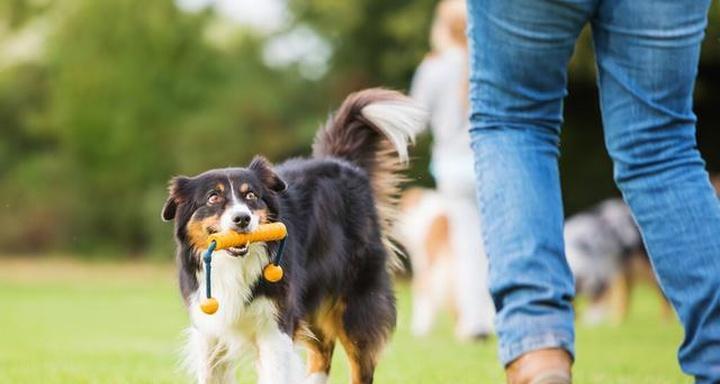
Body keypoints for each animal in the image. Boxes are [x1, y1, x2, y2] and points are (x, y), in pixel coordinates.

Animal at [160, 88, 424, 382]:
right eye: (213, 197)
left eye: (251, 196)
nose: (242, 219)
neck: (234, 265)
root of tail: (342, 163)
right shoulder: (210, 330)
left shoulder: (276, 324)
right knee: (322, 349)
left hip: (355, 300)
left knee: (358, 363)